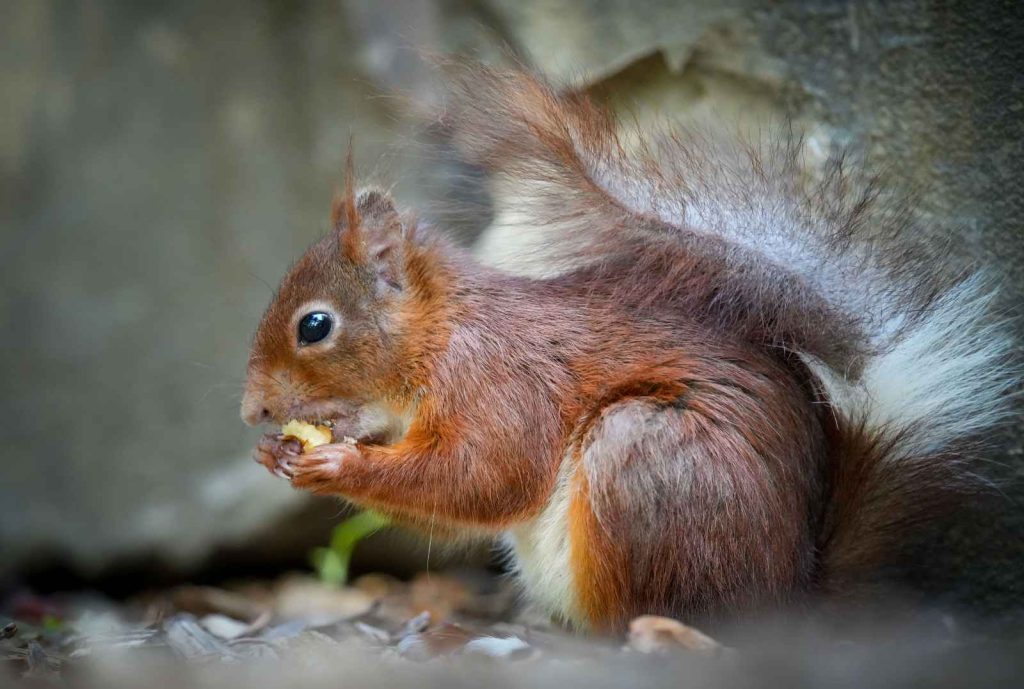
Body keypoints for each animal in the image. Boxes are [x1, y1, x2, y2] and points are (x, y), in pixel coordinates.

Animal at [240, 65, 1015, 632]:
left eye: (315, 325)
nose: (252, 410)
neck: (438, 336)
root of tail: (788, 602)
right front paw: (280, 453)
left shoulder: (500, 382)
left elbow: (484, 477)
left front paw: (338, 462)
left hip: (646, 460)